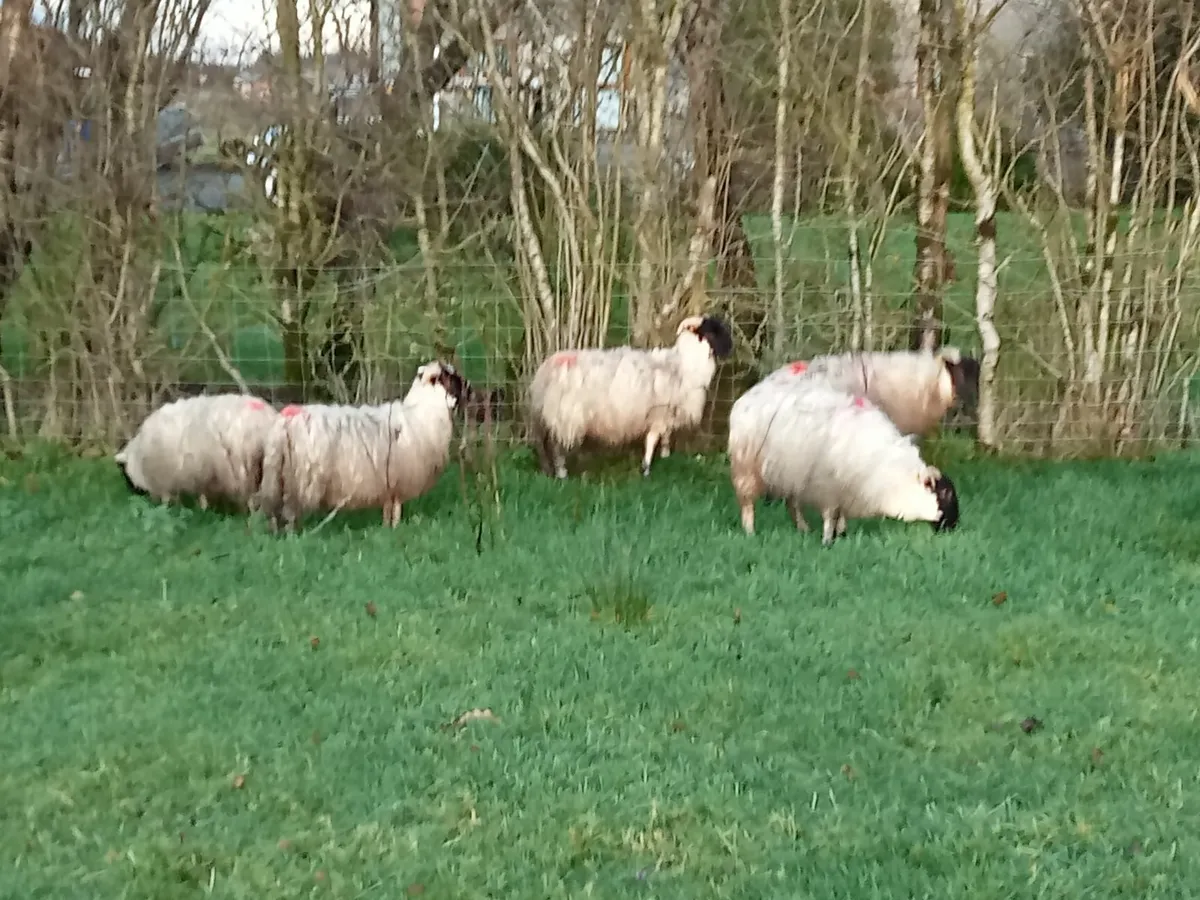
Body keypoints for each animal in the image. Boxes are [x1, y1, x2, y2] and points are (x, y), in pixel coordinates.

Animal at [115, 393, 279, 510]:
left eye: (124, 475)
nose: (132, 494)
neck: (138, 456)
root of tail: (263, 420)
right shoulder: (198, 475)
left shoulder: (166, 478)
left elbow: (168, 499)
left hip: (245, 468)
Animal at [256, 361, 467, 531]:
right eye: (452, 377)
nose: (469, 387)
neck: (423, 412)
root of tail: (286, 421)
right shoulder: (398, 480)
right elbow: (396, 509)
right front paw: (395, 528)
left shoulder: (389, 485)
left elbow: (388, 508)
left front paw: (386, 529)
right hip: (299, 479)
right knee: (290, 511)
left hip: (278, 476)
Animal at [528, 314, 734, 478]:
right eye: (712, 331)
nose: (731, 348)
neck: (683, 365)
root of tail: (545, 372)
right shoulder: (659, 413)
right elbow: (652, 440)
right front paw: (646, 469)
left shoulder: (666, 414)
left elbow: (665, 437)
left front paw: (665, 457)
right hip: (565, 417)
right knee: (556, 446)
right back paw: (562, 474)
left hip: (547, 417)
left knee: (543, 445)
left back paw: (548, 470)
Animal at [728, 376, 959, 544]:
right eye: (945, 494)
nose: (954, 527)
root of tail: (746, 396)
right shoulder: (829, 486)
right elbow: (830, 516)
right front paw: (827, 541)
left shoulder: (845, 489)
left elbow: (840, 516)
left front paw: (841, 535)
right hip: (747, 467)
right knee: (747, 503)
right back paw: (750, 531)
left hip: (791, 472)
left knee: (792, 504)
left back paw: (803, 528)